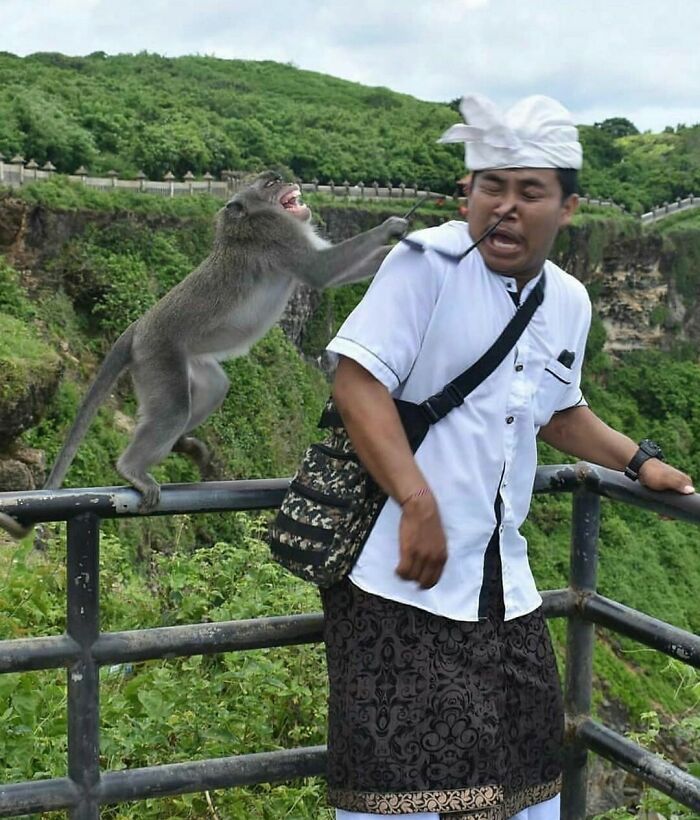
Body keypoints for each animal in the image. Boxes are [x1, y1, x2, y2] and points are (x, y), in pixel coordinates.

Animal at [0, 171, 408, 538]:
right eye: (271, 182)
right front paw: (392, 233)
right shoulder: (274, 234)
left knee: (213, 387)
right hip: (158, 355)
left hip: (183, 360)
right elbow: (321, 270)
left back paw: (182, 443)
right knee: (173, 409)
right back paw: (132, 469)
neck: (247, 220)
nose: (289, 177)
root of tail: (137, 328)